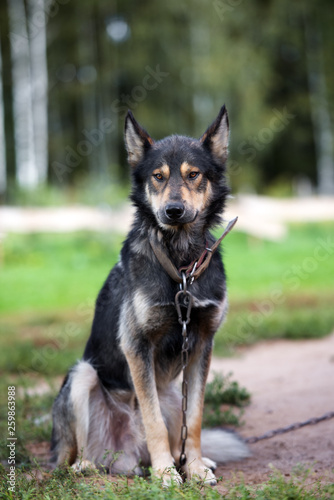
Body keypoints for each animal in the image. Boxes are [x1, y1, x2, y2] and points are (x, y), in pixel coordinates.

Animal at [51, 105, 249, 484]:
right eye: (158, 176)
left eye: (193, 175)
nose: (173, 211)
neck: (181, 264)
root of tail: (128, 456)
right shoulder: (137, 345)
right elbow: (152, 419)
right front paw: (166, 474)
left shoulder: (202, 344)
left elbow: (195, 420)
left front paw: (195, 468)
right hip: (82, 376)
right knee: (71, 457)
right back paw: (91, 464)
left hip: (172, 392)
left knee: (177, 434)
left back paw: (187, 460)